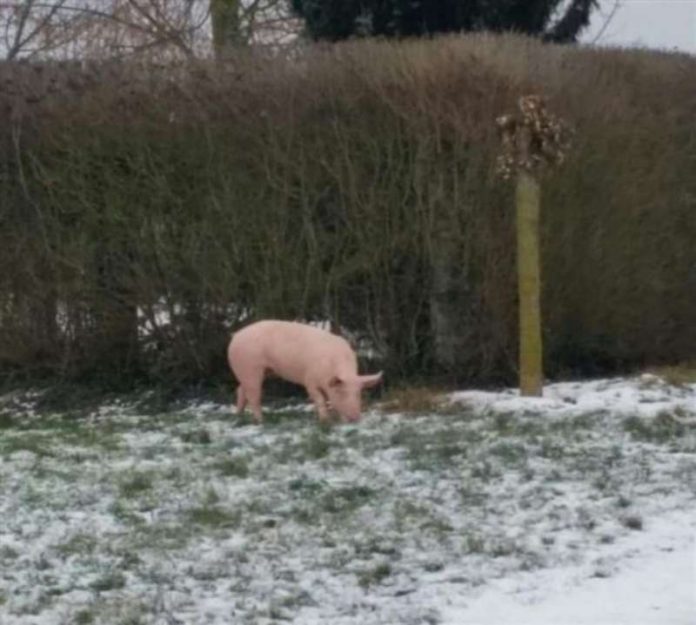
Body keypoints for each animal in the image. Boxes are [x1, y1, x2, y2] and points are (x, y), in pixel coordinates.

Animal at [227, 316, 380, 424]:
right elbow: (320, 400)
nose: (355, 418)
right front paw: (325, 421)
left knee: (240, 390)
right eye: (341, 392)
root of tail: (236, 336)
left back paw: (239, 416)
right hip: (250, 368)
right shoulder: (310, 380)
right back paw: (261, 421)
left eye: (358, 393)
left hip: (257, 372)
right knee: (253, 396)